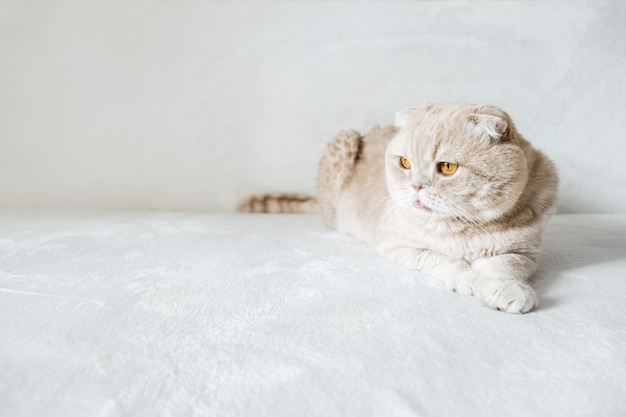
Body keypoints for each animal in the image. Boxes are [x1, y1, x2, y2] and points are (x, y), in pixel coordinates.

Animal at [239, 103, 556, 312]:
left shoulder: (525, 253)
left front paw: (501, 288)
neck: (462, 228)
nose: (415, 186)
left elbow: (499, 266)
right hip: (344, 140)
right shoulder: (400, 246)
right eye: (405, 162)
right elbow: (449, 264)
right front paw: (474, 282)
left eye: (447, 167)